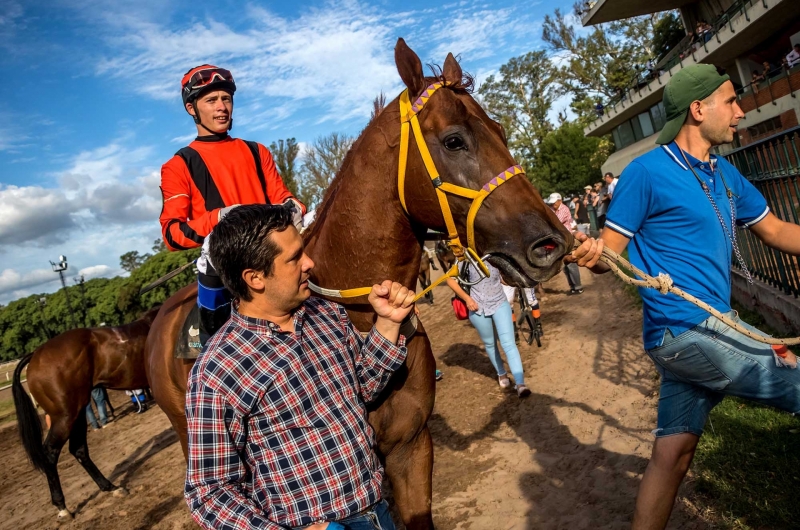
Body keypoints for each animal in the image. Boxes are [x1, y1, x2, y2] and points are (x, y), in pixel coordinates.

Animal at [11, 308, 159, 516]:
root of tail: (35, 355)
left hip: (78, 412)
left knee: (78, 449)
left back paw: (110, 487)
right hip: (65, 416)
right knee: (50, 453)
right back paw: (62, 506)